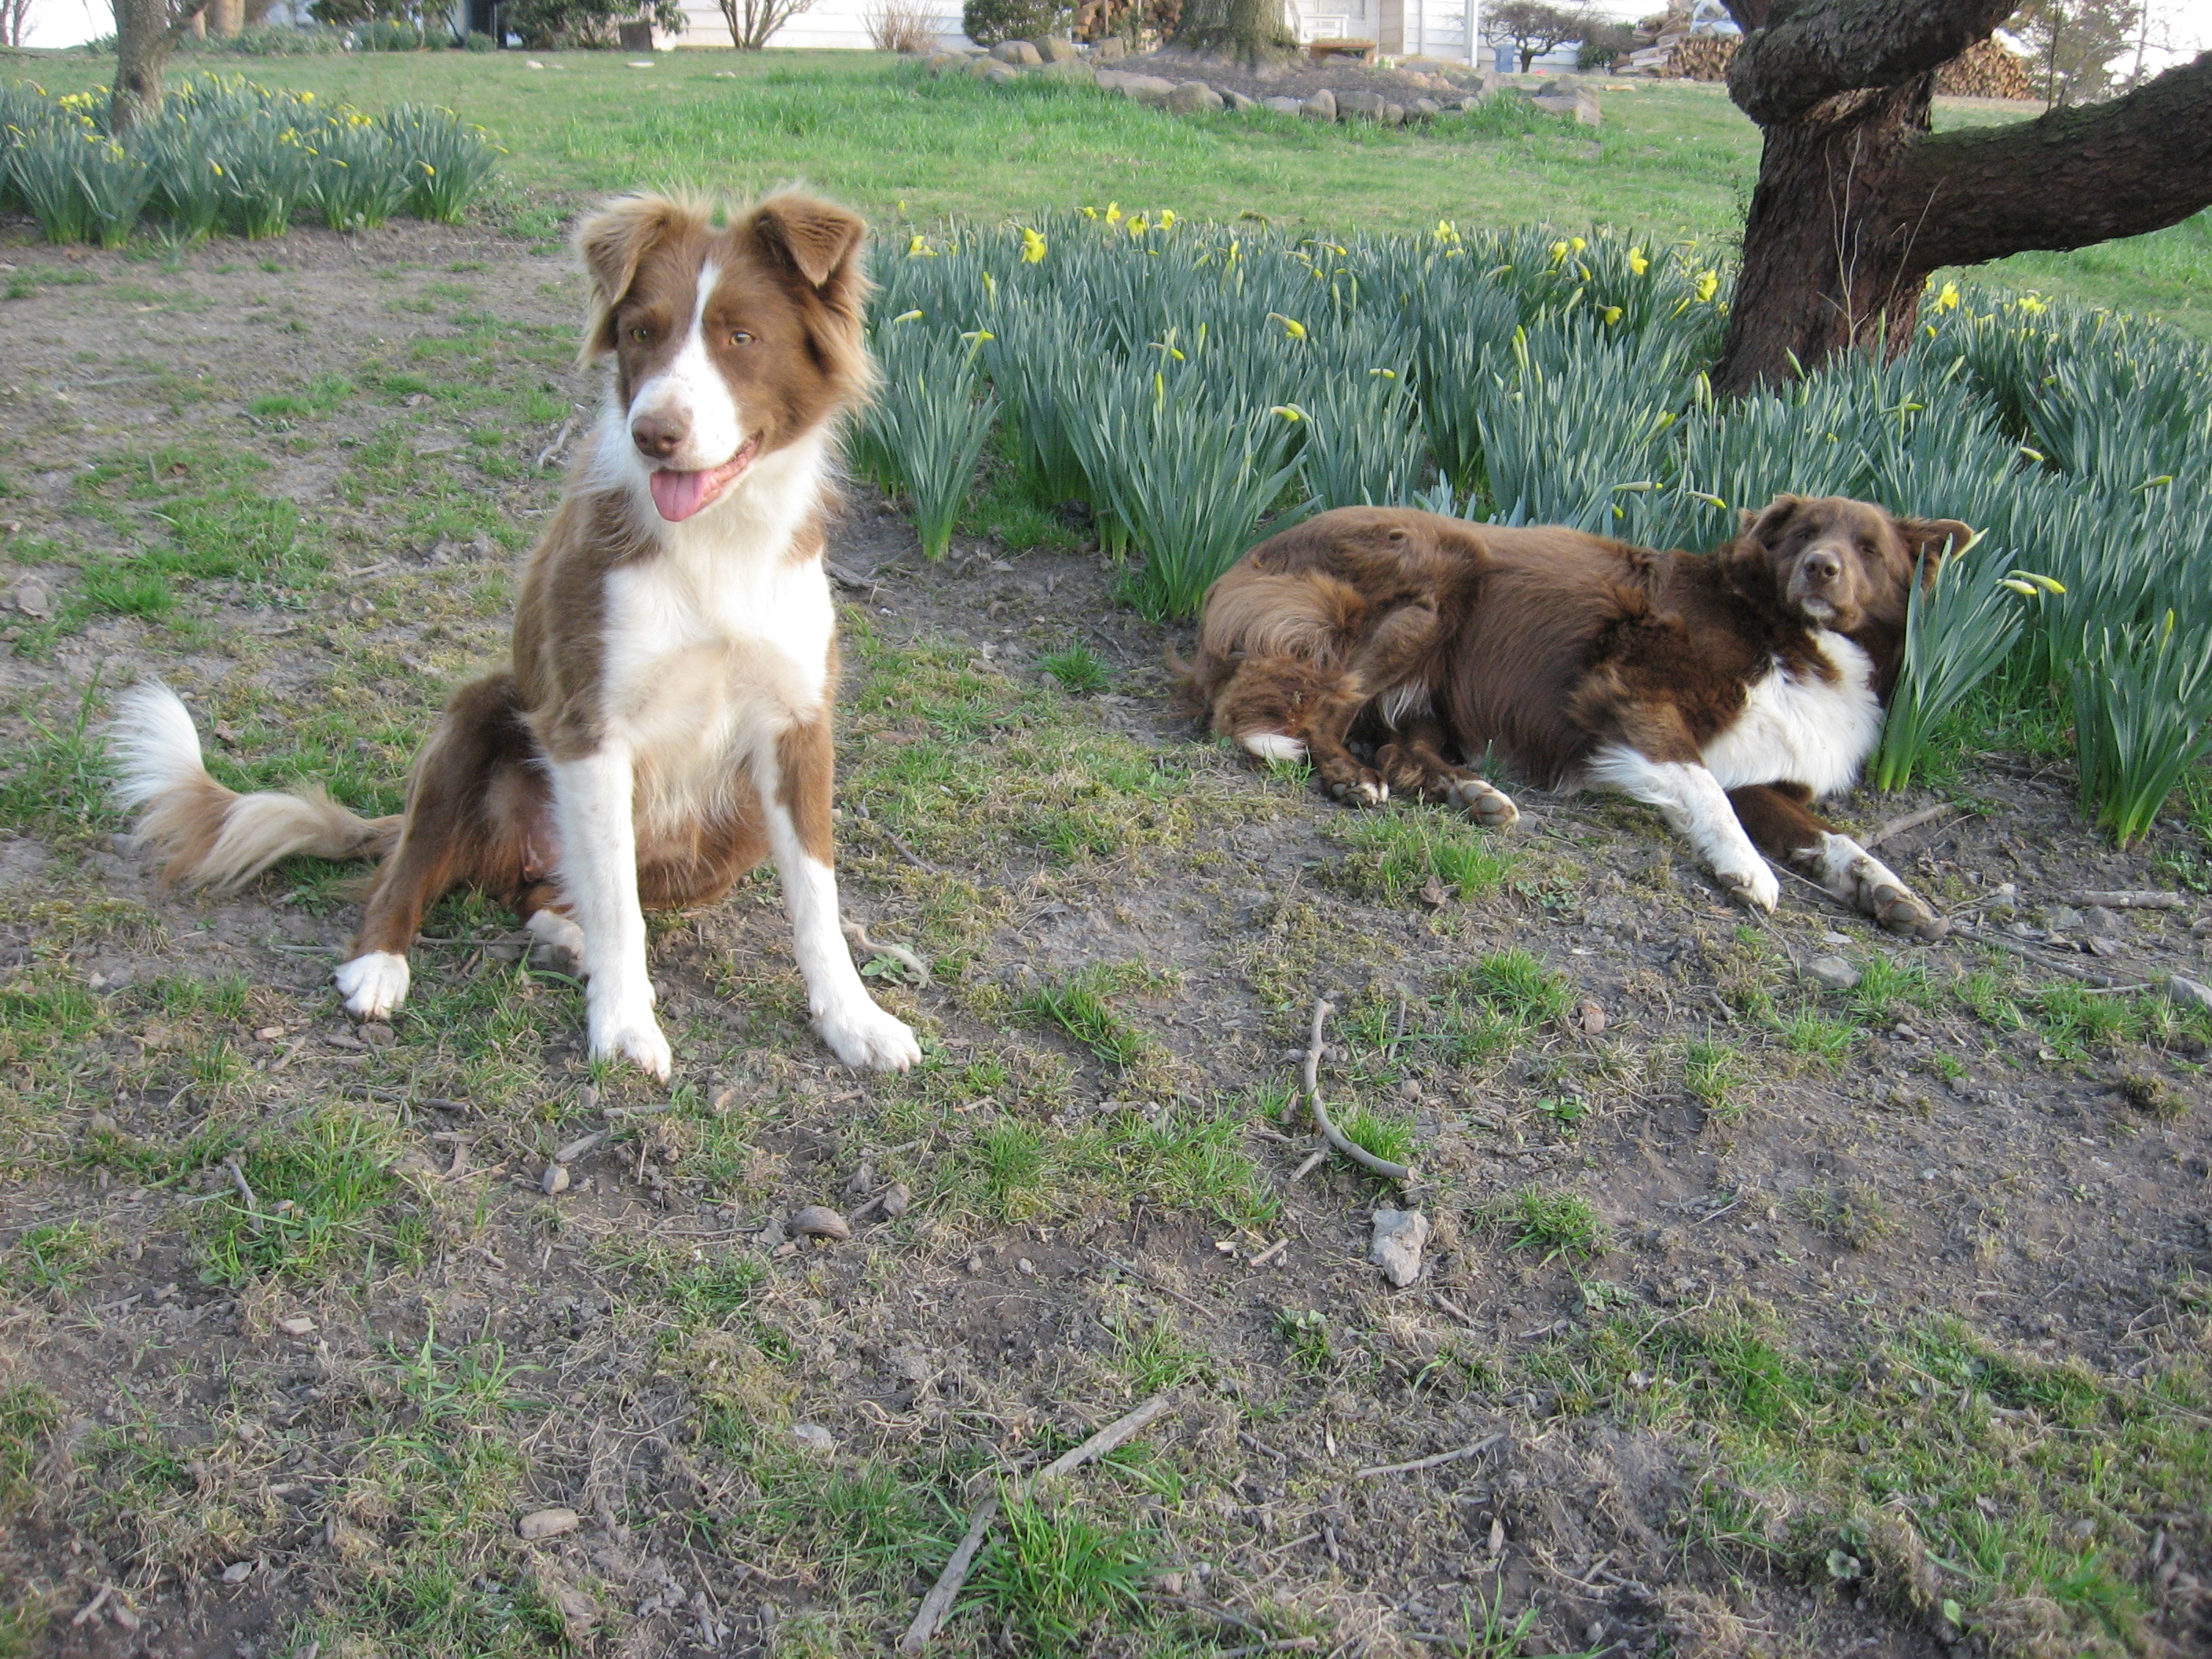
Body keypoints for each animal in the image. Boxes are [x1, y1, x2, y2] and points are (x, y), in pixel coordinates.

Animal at [110, 194, 925, 1083]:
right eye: (640, 331)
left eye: (741, 337)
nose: (653, 433)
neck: (717, 541)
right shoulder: (585, 724)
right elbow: (620, 907)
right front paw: (624, 1027)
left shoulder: (796, 726)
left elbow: (815, 899)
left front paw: (854, 1019)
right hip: (478, 715)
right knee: (413, 870)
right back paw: (381, 966)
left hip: (731, 820)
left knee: (544, 898)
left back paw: (565, 937)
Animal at [1194, 493, 1972, 942]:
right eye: (1805, 533)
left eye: (1868, 548)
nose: (1821, 567)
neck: (1782, 633)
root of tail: (1259, 551)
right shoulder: (1628, 694)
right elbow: (1704, 789)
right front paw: (1746, 867)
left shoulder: (1759, 772)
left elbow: (1829, 835)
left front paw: (1885, 889)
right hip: (1440, 578)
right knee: (1310, 703)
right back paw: (1346, 776)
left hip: (1439, 679)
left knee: (1396, 743)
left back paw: (1470, 792)